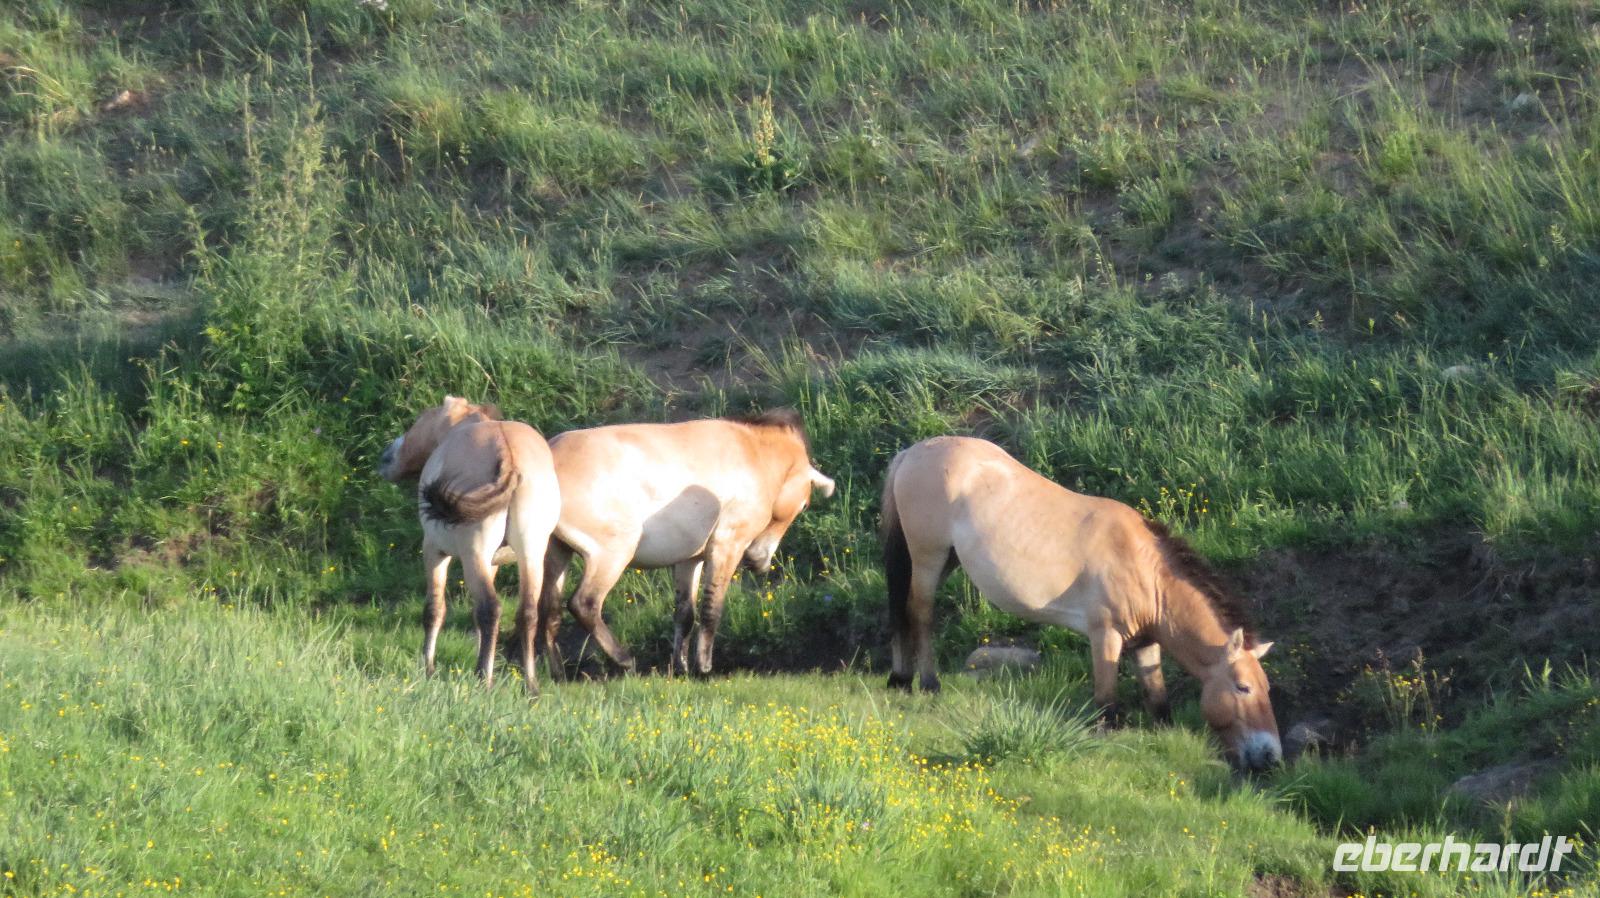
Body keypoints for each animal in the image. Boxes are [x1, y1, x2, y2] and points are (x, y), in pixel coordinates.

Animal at [378, 395, 560, 695]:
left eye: (421, 418)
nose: (386, 456)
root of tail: (508, 453)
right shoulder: (493, 562)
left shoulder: (434, 551)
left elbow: (435, 609)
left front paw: (428, 668)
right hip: (531, 554)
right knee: (527, 613)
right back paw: (530, 685)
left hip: (473, 553)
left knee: (491, 609)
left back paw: (484, 679)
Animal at [515, 409, 834, 678]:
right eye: (805, 504)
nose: (759, 562)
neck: (755, 453)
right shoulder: (726, 545)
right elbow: (711, 608)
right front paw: (703, 668)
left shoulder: (689, 560)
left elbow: (685, 614)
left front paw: (680, 667)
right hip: (612, 552)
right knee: (584, 603)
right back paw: (624, 660)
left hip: (556, 550)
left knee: (550, 609)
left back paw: (559, 674)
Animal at [880, 435, 1281, 771]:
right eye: (1242, 687)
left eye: (1266, 689)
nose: (1271, 755)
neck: (1145, 567)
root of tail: (910, 452)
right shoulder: (1105, 636)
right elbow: (1107, 705)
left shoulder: (1144, 643)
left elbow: (1158, 700)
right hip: (929, 556)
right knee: (919, 614)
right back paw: (928, 684)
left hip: (946, 559)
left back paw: (902, 679)